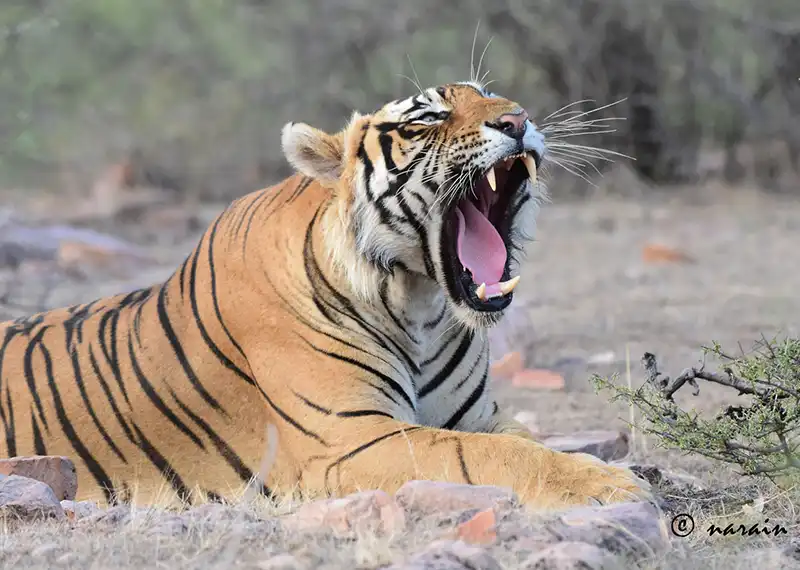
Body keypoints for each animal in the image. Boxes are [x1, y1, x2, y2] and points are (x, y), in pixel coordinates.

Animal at [0, 80, 648, 506]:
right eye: (426, 120)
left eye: (495, 96)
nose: (517, 120)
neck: (421, 304)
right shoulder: (349, 439)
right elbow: (491, 457)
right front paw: (610, 484)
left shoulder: (479, 418)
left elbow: (531, 444)